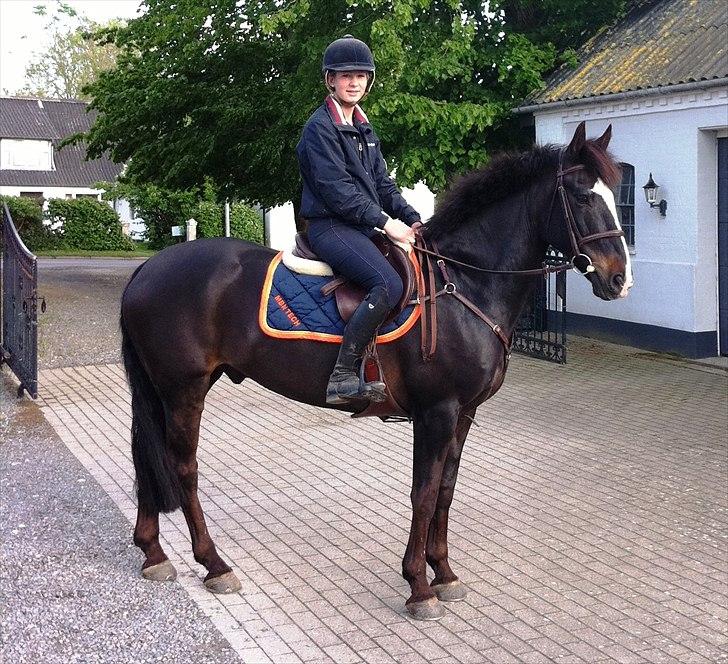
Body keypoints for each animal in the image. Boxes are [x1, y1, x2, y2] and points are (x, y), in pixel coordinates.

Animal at [119, 121, 632, 620]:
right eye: (583, 196)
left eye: (615, 192)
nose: (619, 280)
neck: (464, 283)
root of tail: (148, 268)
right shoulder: (437, 412)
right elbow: (423, 493)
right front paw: (419, 587)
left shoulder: (463, 414)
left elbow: (446, 490)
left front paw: (444, 574)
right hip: (184, 390)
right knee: (182, 467)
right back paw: (214, 564)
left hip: (166, 390)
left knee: (147, 456)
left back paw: (154, 554)